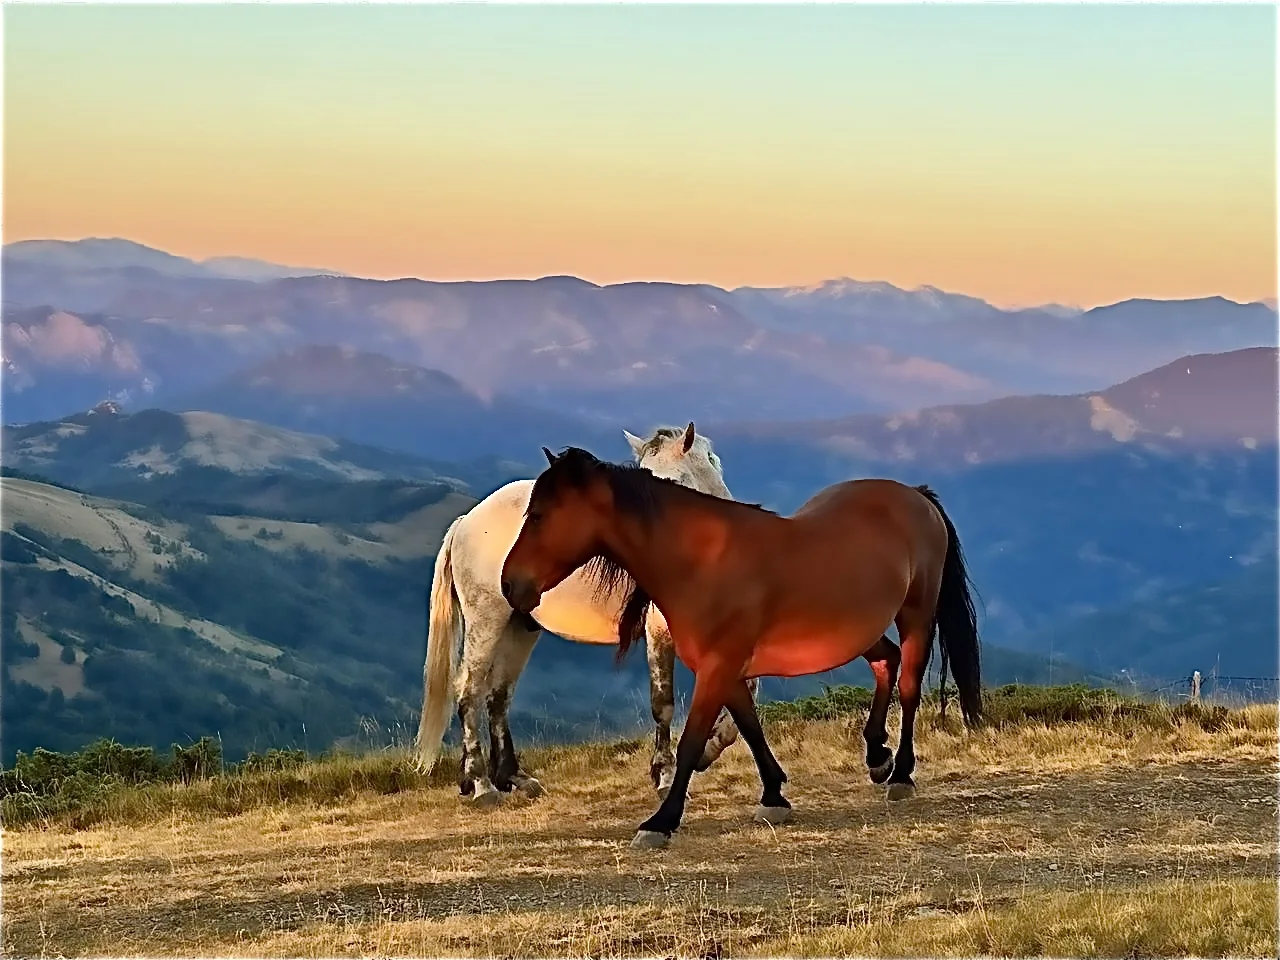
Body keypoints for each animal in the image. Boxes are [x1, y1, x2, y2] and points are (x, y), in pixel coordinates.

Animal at [413, 423, 759, 806]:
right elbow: (663, 704)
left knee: (498, 696)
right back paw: (480, 784)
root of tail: (466, 522)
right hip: (486, 622)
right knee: (469, 692)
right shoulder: (660, 633)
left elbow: (746, 692)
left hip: (520, 626)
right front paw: (665, 776)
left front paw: (707, 751)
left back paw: (513, 778)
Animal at [500, 446, 983, 848]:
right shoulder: (726, 669)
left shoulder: (718, 667)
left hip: (916, 616)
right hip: (860, 630)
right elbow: (749, 728)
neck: (700, 561)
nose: (510, 585)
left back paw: (900, 773)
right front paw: (773, 797)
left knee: (909, 686)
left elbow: (693, 741)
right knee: (886, 661)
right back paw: (876, 755)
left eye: (538, 515)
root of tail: (915, 496)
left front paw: (660, 822)